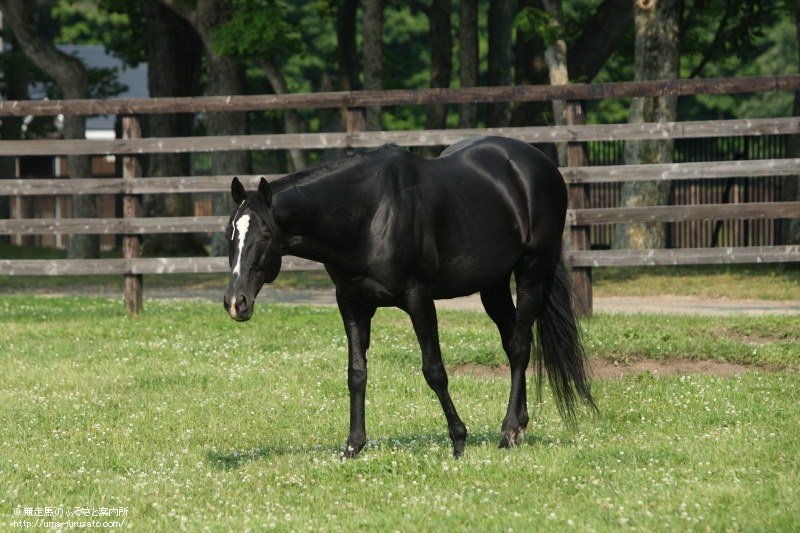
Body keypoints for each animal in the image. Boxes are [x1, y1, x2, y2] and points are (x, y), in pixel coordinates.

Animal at [223, 136, 596, 458]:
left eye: (265, 235)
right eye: (229, 233)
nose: (235, 303)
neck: (369, 214)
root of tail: (540, 163)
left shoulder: (418, 299)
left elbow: (434, 371)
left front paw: (458, 440)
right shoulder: (352, 303)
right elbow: (356, 374)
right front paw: (353, 445)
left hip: (532, 269)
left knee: (519, 347)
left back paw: (507, 432)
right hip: (494, 283)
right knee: (512, 340)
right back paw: (519, 427)